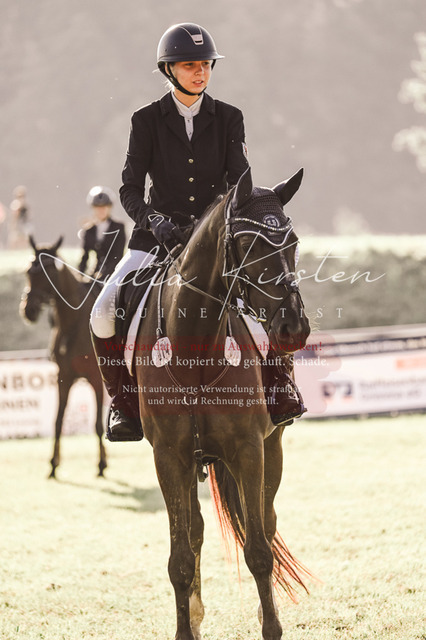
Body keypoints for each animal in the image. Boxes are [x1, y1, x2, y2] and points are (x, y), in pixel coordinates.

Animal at [20, 236, 107, 479]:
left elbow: (97, 423)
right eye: (28, 271)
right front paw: (53, 465)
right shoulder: (64, 377)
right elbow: (58, 420)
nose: (29, 310)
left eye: (49, 270)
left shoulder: (96, 378)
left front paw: (101, 464)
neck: (73, 323)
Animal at [134, 167, 311, 640]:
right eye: (249, 245)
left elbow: (259, 551)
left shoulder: (248, 450)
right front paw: (185, 628)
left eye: (293, 241)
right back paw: (194, 616)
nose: (294, 327)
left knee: (265, 523)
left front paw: (271, 626)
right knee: (195, 529)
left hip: (272, 448)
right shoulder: (168, 457)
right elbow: (179, 558)